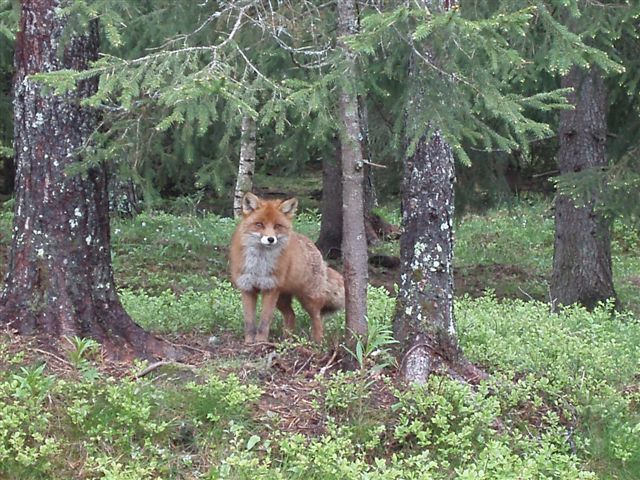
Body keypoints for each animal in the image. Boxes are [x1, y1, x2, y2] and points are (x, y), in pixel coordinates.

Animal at [230, 192, 344, 344]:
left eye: (277, 226)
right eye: (259, 224)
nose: (270, 239)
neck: (259, 263)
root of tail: (313, 246)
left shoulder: (270, 289)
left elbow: (264, 321)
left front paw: (261, 342)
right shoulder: (247, 288)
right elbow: (249, 322)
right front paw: (249, 342)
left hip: (308, 298)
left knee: (317, 317)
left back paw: (317, 342)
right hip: (282, 299)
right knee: (291, 315)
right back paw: (287, 340)